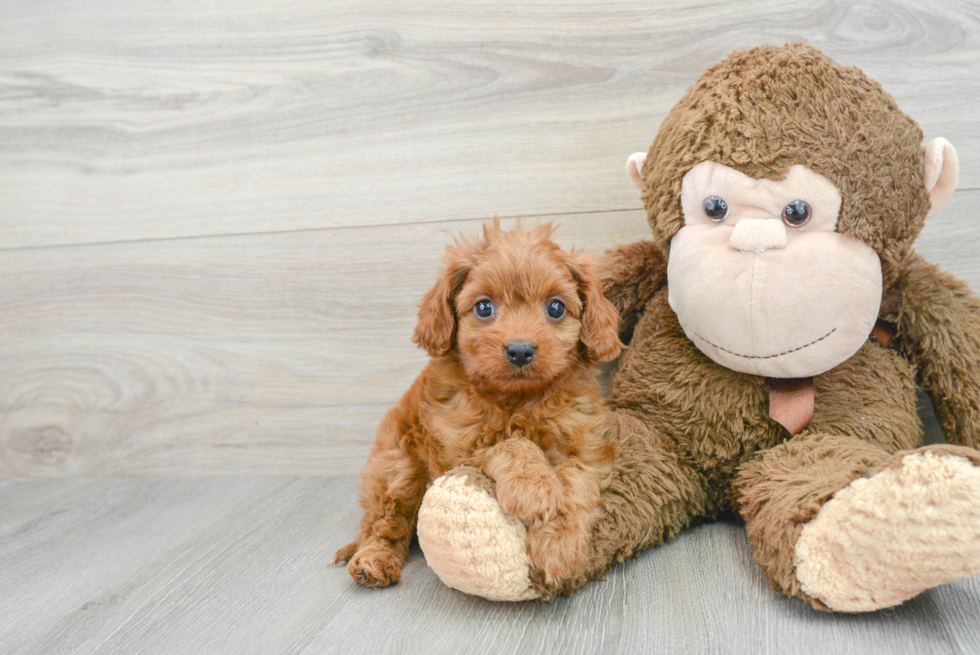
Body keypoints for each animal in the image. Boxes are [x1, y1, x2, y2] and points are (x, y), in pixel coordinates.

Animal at [332, 222, 620, 600]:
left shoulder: (584, 448)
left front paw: (559, 548)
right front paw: (535, 488)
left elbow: (576, 488)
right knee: (383, 522)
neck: (517, 400)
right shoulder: (457, 450)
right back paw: (372, 561)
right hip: (397, 467)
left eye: (556, 308)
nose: (520, 350)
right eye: (484, 308)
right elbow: (513, 445)